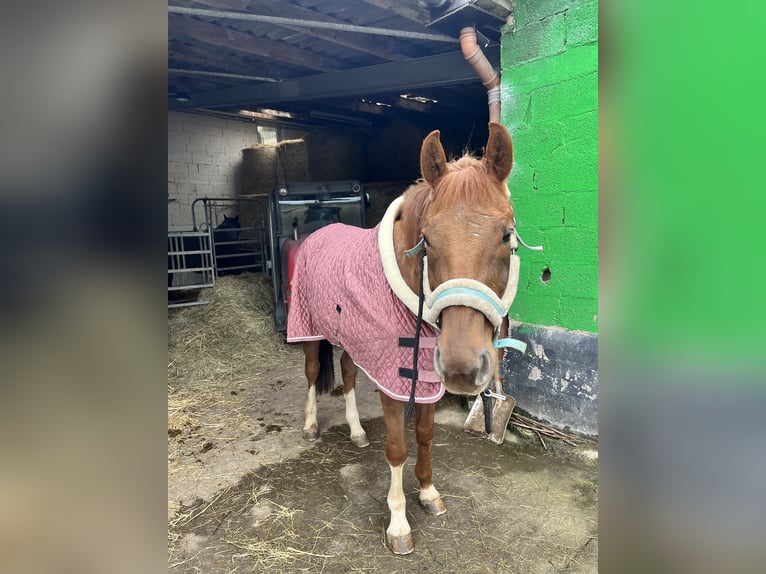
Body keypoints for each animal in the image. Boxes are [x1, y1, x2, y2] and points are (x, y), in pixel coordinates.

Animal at [284, 122, 520, 560]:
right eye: (426, 239)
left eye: (506, 235)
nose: (463, 368)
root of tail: (315, 233)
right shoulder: (395, 383)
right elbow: (397, 448)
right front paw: (398, 525)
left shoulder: (424, 376)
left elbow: (425, 437)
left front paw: (428, 493)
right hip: (309, 328)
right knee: (310, 373)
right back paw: (310, 426)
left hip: (352, 339)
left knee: (347, 373)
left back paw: (357, 432)